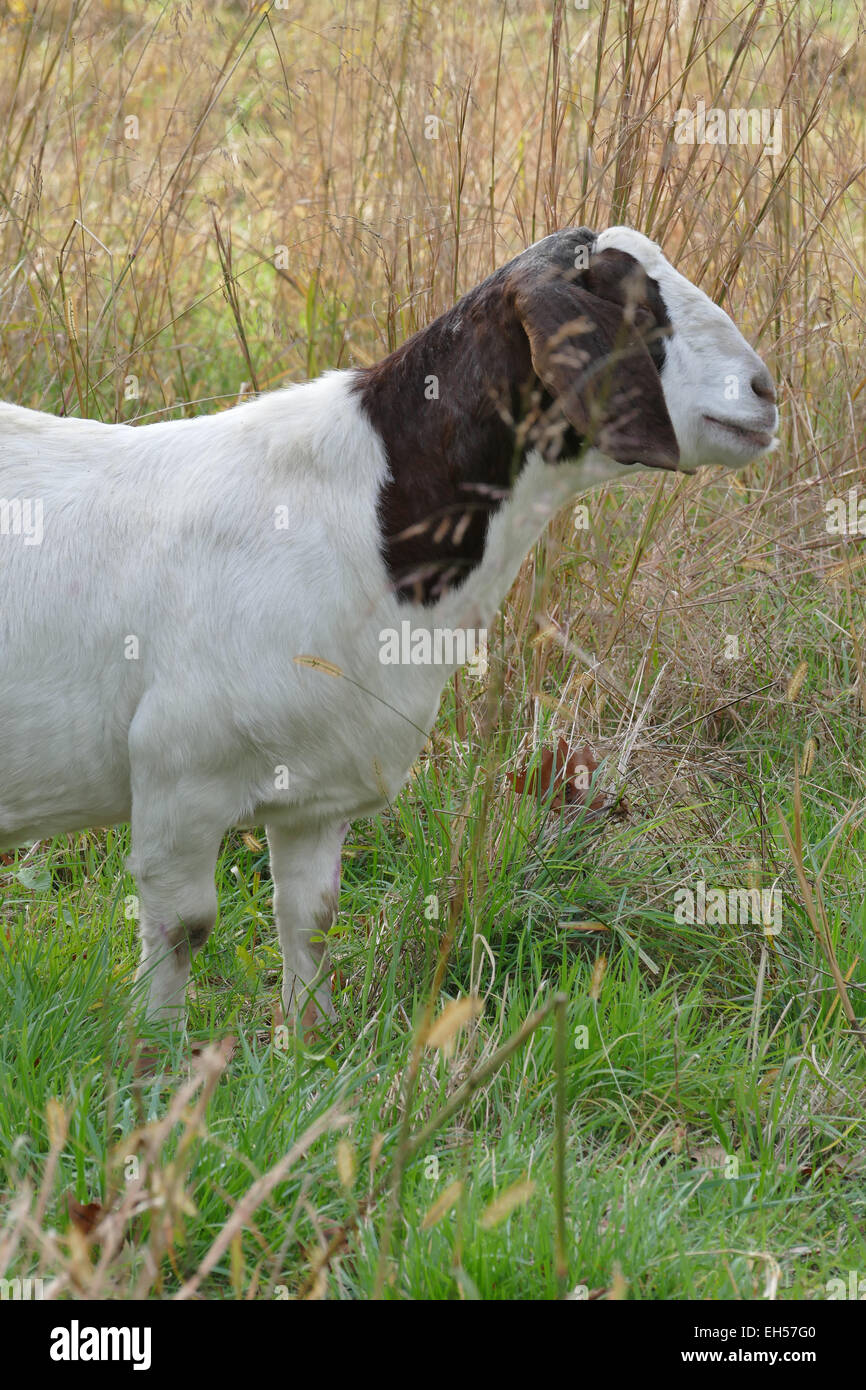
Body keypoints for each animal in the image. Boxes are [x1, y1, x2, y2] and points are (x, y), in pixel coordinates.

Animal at [0, 226, 778, 1030]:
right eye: (637, 309)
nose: (764, 392)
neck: (367, 516)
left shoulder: (317, 791)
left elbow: (310, 919)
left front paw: (309, 1042)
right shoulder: (179, 774)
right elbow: (182, 928)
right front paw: (155, 1049)